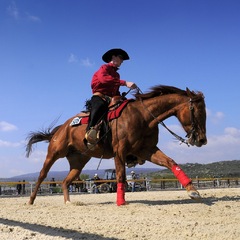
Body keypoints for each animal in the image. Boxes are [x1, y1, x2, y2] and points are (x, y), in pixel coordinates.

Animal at [25, 85, 206, 205]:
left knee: (66, 181)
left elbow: (170, 162)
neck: (143, 116)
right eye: (198, 112)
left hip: (79, 161)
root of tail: (61, 128)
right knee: (42, 175)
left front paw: (193, 190)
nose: (202, 140)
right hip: (54, 153)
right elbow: (120, 176)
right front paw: (120, 202)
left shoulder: (147, 150)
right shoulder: (120, 151)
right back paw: (31, 200)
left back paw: (69, 203)